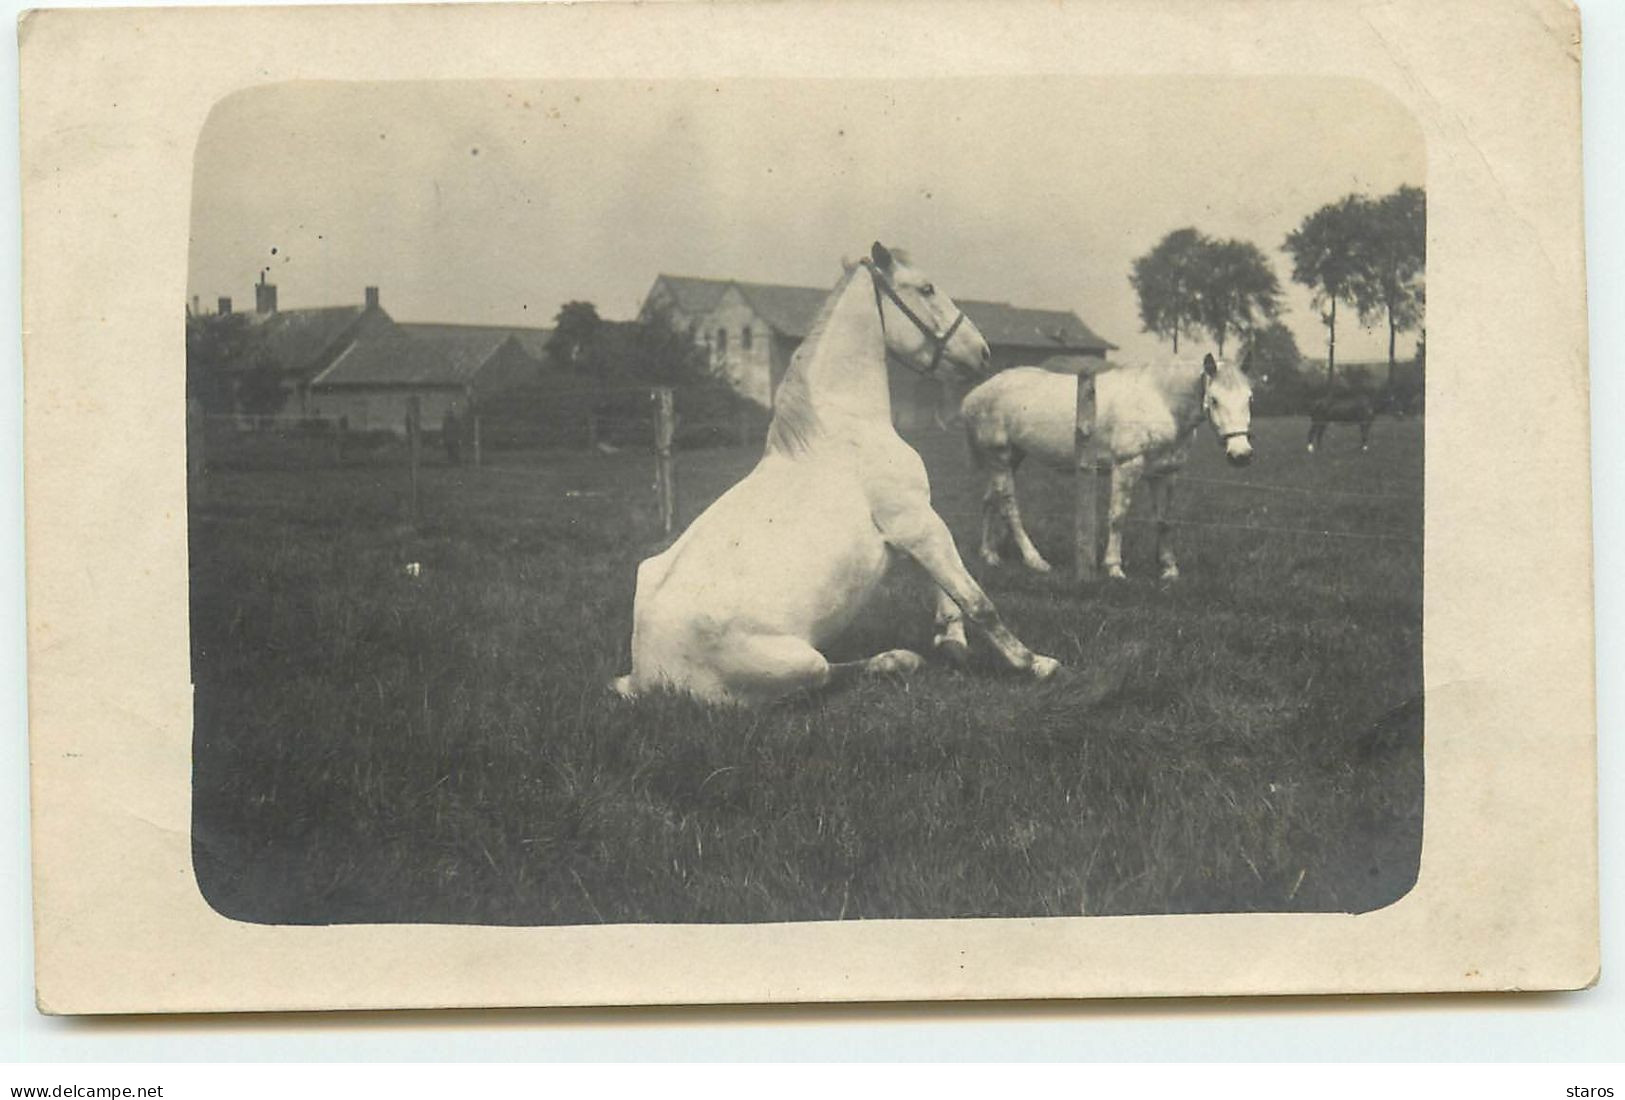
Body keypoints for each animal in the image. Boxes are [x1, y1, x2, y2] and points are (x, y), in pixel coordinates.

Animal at [614, 242, 1059, 705]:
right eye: (926, 288)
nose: (982, 352)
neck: (846, 427)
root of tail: (645, 675)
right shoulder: (917, 522)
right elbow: (976, 599)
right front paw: (1034, 663)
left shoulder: (919, 524)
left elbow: (946, 585)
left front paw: (951, 640)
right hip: (796, 663)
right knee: (828, 672)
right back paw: (898, 658)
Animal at [962, 357, 1254, 584]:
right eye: (1214, 400)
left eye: (1250, 398)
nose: (1241, 454)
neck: (1160, 401)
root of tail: (973, 396)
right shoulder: (1127, 467)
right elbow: (1118, 516)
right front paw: (1114, 567)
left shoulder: (1165, 473)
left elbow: (1164, 520)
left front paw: (1169, 568)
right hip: (1000, 459)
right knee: (1009, 508)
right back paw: (1035, 560)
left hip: (1010, 459)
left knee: (990, 500)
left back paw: (989, 554)